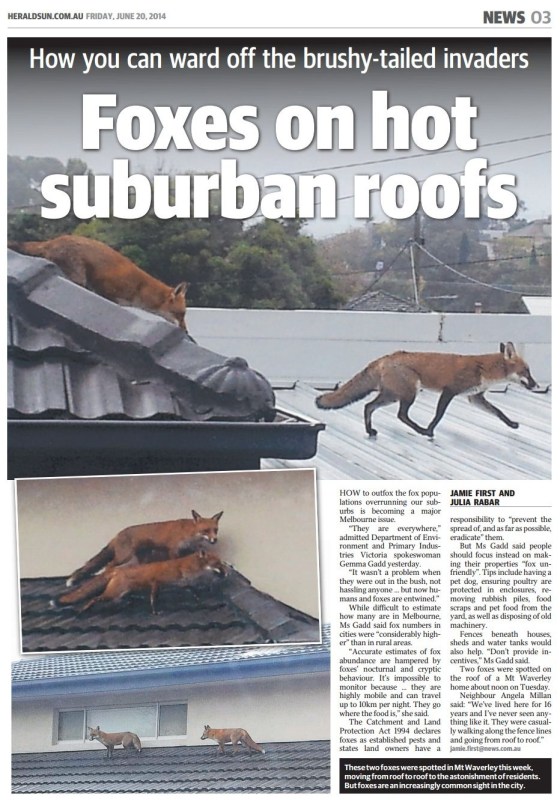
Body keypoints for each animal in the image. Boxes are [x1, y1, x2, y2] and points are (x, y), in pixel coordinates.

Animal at [8, 235, 188, 330]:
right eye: (180, 314)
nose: (186, 332)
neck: (142, 290)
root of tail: (53, 240)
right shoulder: (107, 289)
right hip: (80, 278)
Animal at [52, 549, 229, 614]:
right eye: (217, 563)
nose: (227, 571)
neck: (184, 566)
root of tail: (115, 570)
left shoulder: (184, 585)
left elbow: (194, 593)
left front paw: (201, 601)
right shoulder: (156, 582)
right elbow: (153, 599)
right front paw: (155, 612)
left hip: (121, 593)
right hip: (112, 594)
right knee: (95, 598)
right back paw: (84, 609)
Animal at [66, 510, 223, 587]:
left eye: (215, 530)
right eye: (206, 530)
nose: (214, 540)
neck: (189, 532)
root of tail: (116, 535)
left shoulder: (187, 549)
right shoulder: (173, 549)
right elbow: (174, 562)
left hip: (137, 558)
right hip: (124, 557)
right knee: (109, 565)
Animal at [315, 342, 537, 439]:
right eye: (526, 371)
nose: (536, 385)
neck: (483, 369)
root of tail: (385, 357)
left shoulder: (474, 397)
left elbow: (499, 412)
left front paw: (512, 424)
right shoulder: (450, 391)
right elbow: (439, 415)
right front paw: (430, 430)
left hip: (391, 395)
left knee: (368, 407)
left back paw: (370, 431)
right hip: (408, 393)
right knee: (401, 415)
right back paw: (421, 430)